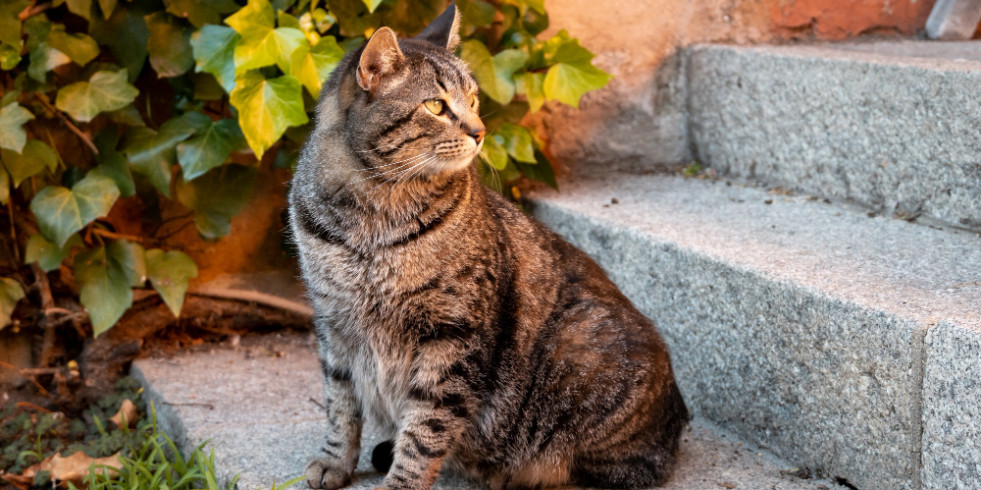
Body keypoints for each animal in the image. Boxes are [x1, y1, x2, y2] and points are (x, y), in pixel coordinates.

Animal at [290, 4, 688, 490]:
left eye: (474, 99)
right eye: (436, 106)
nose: (480, 132)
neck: (372, 215)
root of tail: (679, 416)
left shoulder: (453, 336)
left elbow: (425, 431)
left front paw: (402, 482)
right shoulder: (333, 323)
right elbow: (341, 404)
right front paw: (334, 461)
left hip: (580, 352)